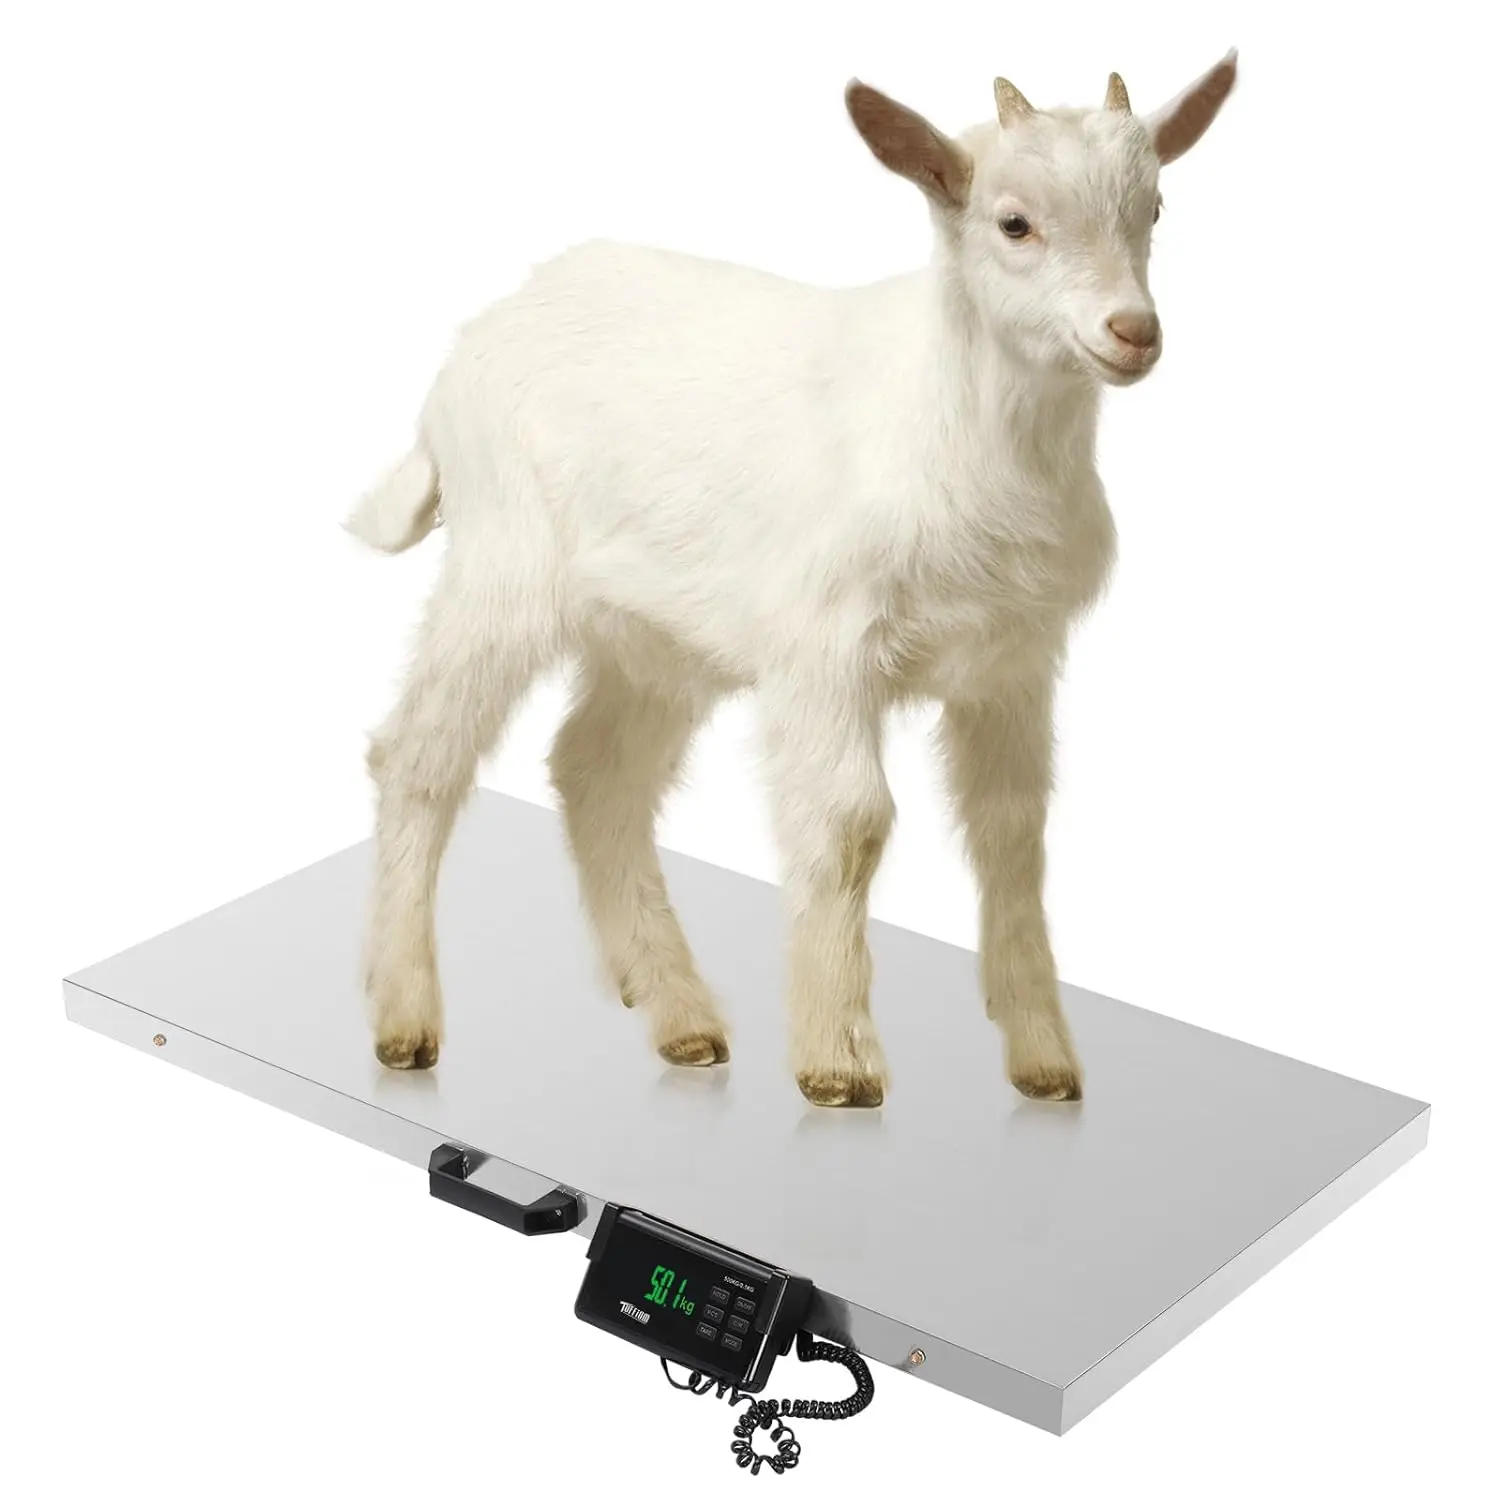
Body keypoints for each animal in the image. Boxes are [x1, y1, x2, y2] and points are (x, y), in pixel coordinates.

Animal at [347, 53, 1238, 1106]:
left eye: (1155, 208)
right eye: (1014, 222)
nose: (1133, 331)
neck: (954, 422)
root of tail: (462, 361)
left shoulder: (1012, 661)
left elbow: (1013, 835)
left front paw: (1044, 1058)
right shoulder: (827, 649)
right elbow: (851, 823)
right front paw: (837, 1062)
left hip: (658, 635)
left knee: (596, 772)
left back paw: (681, 1017)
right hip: (502, 565)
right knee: (417, 756)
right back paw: (404, 1016)